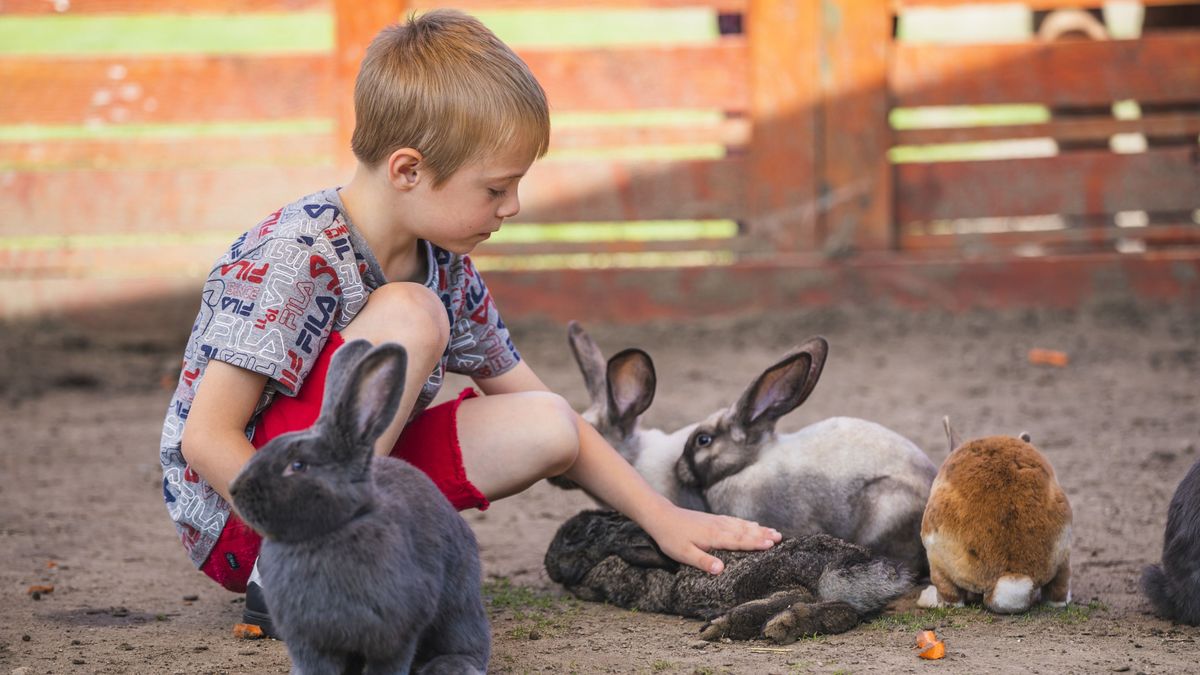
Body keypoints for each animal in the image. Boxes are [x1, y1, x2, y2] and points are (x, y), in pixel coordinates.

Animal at [229, 338, 492, 672]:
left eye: (298, 465)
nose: (235, 490)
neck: (330, 530)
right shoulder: (311, 643)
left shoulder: (396, 634)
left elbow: (387, 666)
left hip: (458, 606)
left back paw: (450, 666)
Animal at [544, 509, 907, 638]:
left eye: (574, 535)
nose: (548, 562)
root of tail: (855, 564)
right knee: (841, 611)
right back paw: (789, 625)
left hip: (763, 576)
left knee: (795, 595)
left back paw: (730, 625)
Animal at [912, 415, 1075, 610]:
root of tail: (1011, 577)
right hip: (1064, 554)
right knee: (1058, 593)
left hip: (936, 556)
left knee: (951, 598)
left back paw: (926, 598)